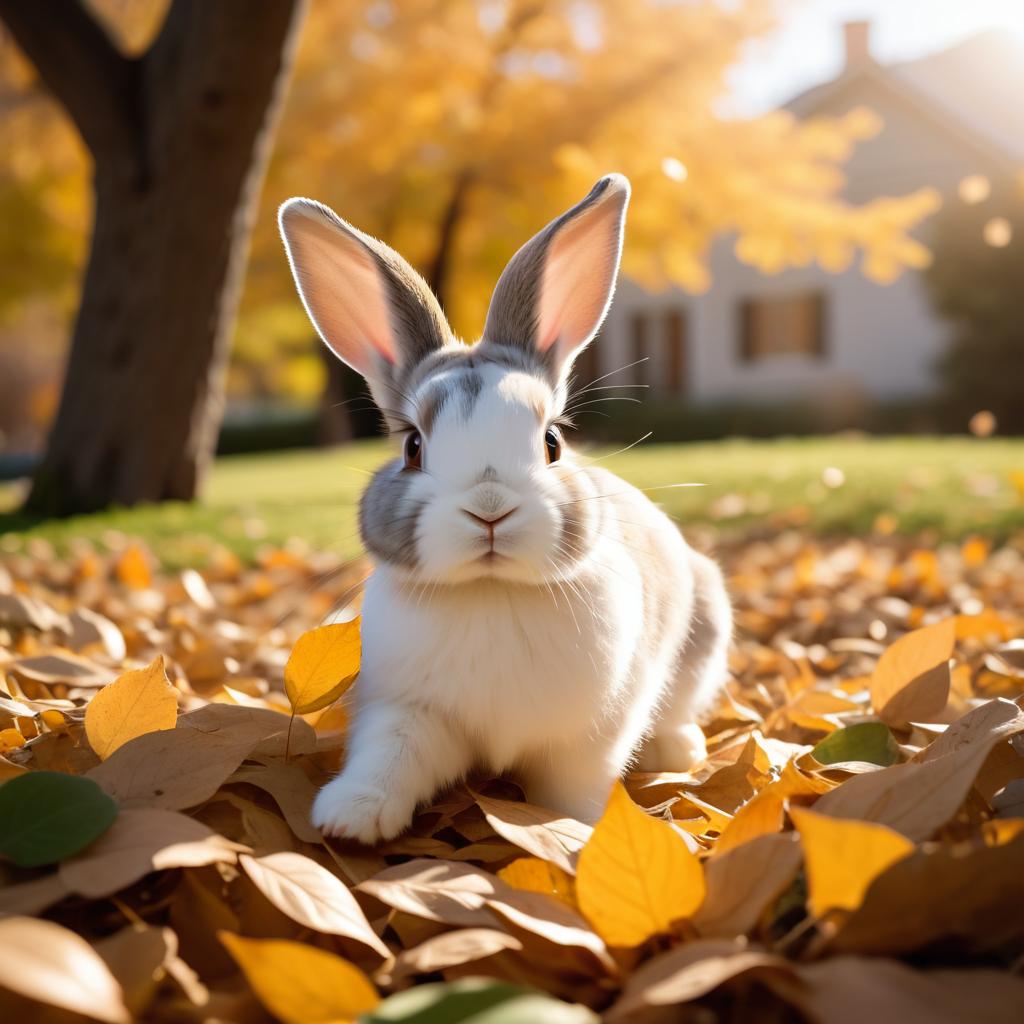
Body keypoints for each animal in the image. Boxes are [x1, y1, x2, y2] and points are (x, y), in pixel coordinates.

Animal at [276, 176, 733, 843]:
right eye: (413, 447)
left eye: (553, 443)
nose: (488, 510)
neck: (492, 593)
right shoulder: (406, 710)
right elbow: (389, 756)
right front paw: (350, 816)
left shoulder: (590, 737)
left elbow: (574, 789)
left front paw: (580, 832)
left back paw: (678, 749)